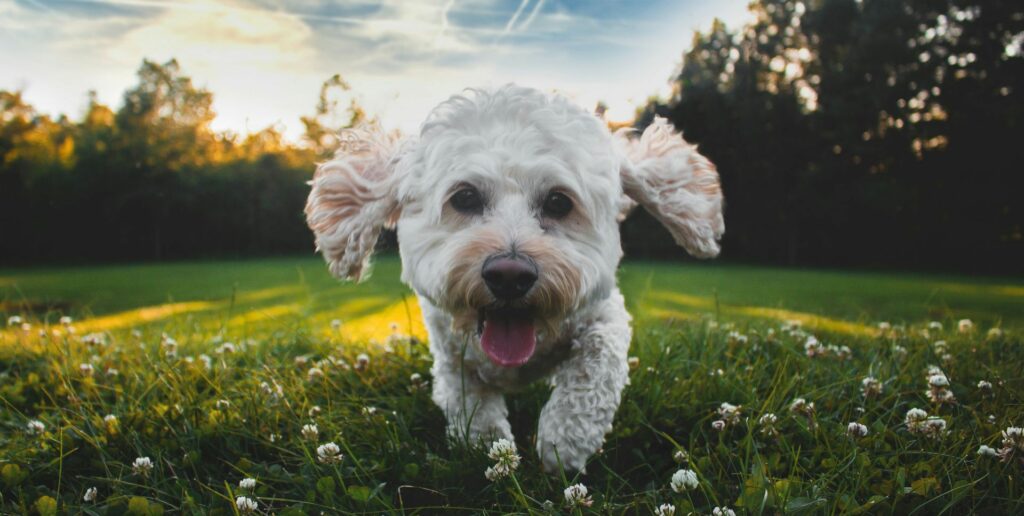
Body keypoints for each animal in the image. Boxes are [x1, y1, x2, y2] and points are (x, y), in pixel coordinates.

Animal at [301, 83, 720, 470]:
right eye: (464, 197)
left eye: (558, 202)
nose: (509, 275)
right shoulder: (450, 355)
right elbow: (470, 403)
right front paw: (489, 446)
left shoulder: (604, 314)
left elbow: (595, 367)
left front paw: (563, 441)